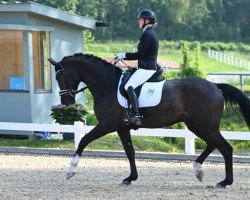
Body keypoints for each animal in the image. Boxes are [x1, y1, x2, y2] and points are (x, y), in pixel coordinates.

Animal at [48, 53, 250, 188]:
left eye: (60, 76)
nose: (66, 102)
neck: (108, 85)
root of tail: (215, 86)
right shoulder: (122, 127)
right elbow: (130, 152)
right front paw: (130, 178)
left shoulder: (107, 124)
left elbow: (83, 140)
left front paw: (70, 170)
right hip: (196, 125)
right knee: (213, 145)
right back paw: (198, 170)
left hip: (205, 126)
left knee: (225, 148)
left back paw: (224, 181)